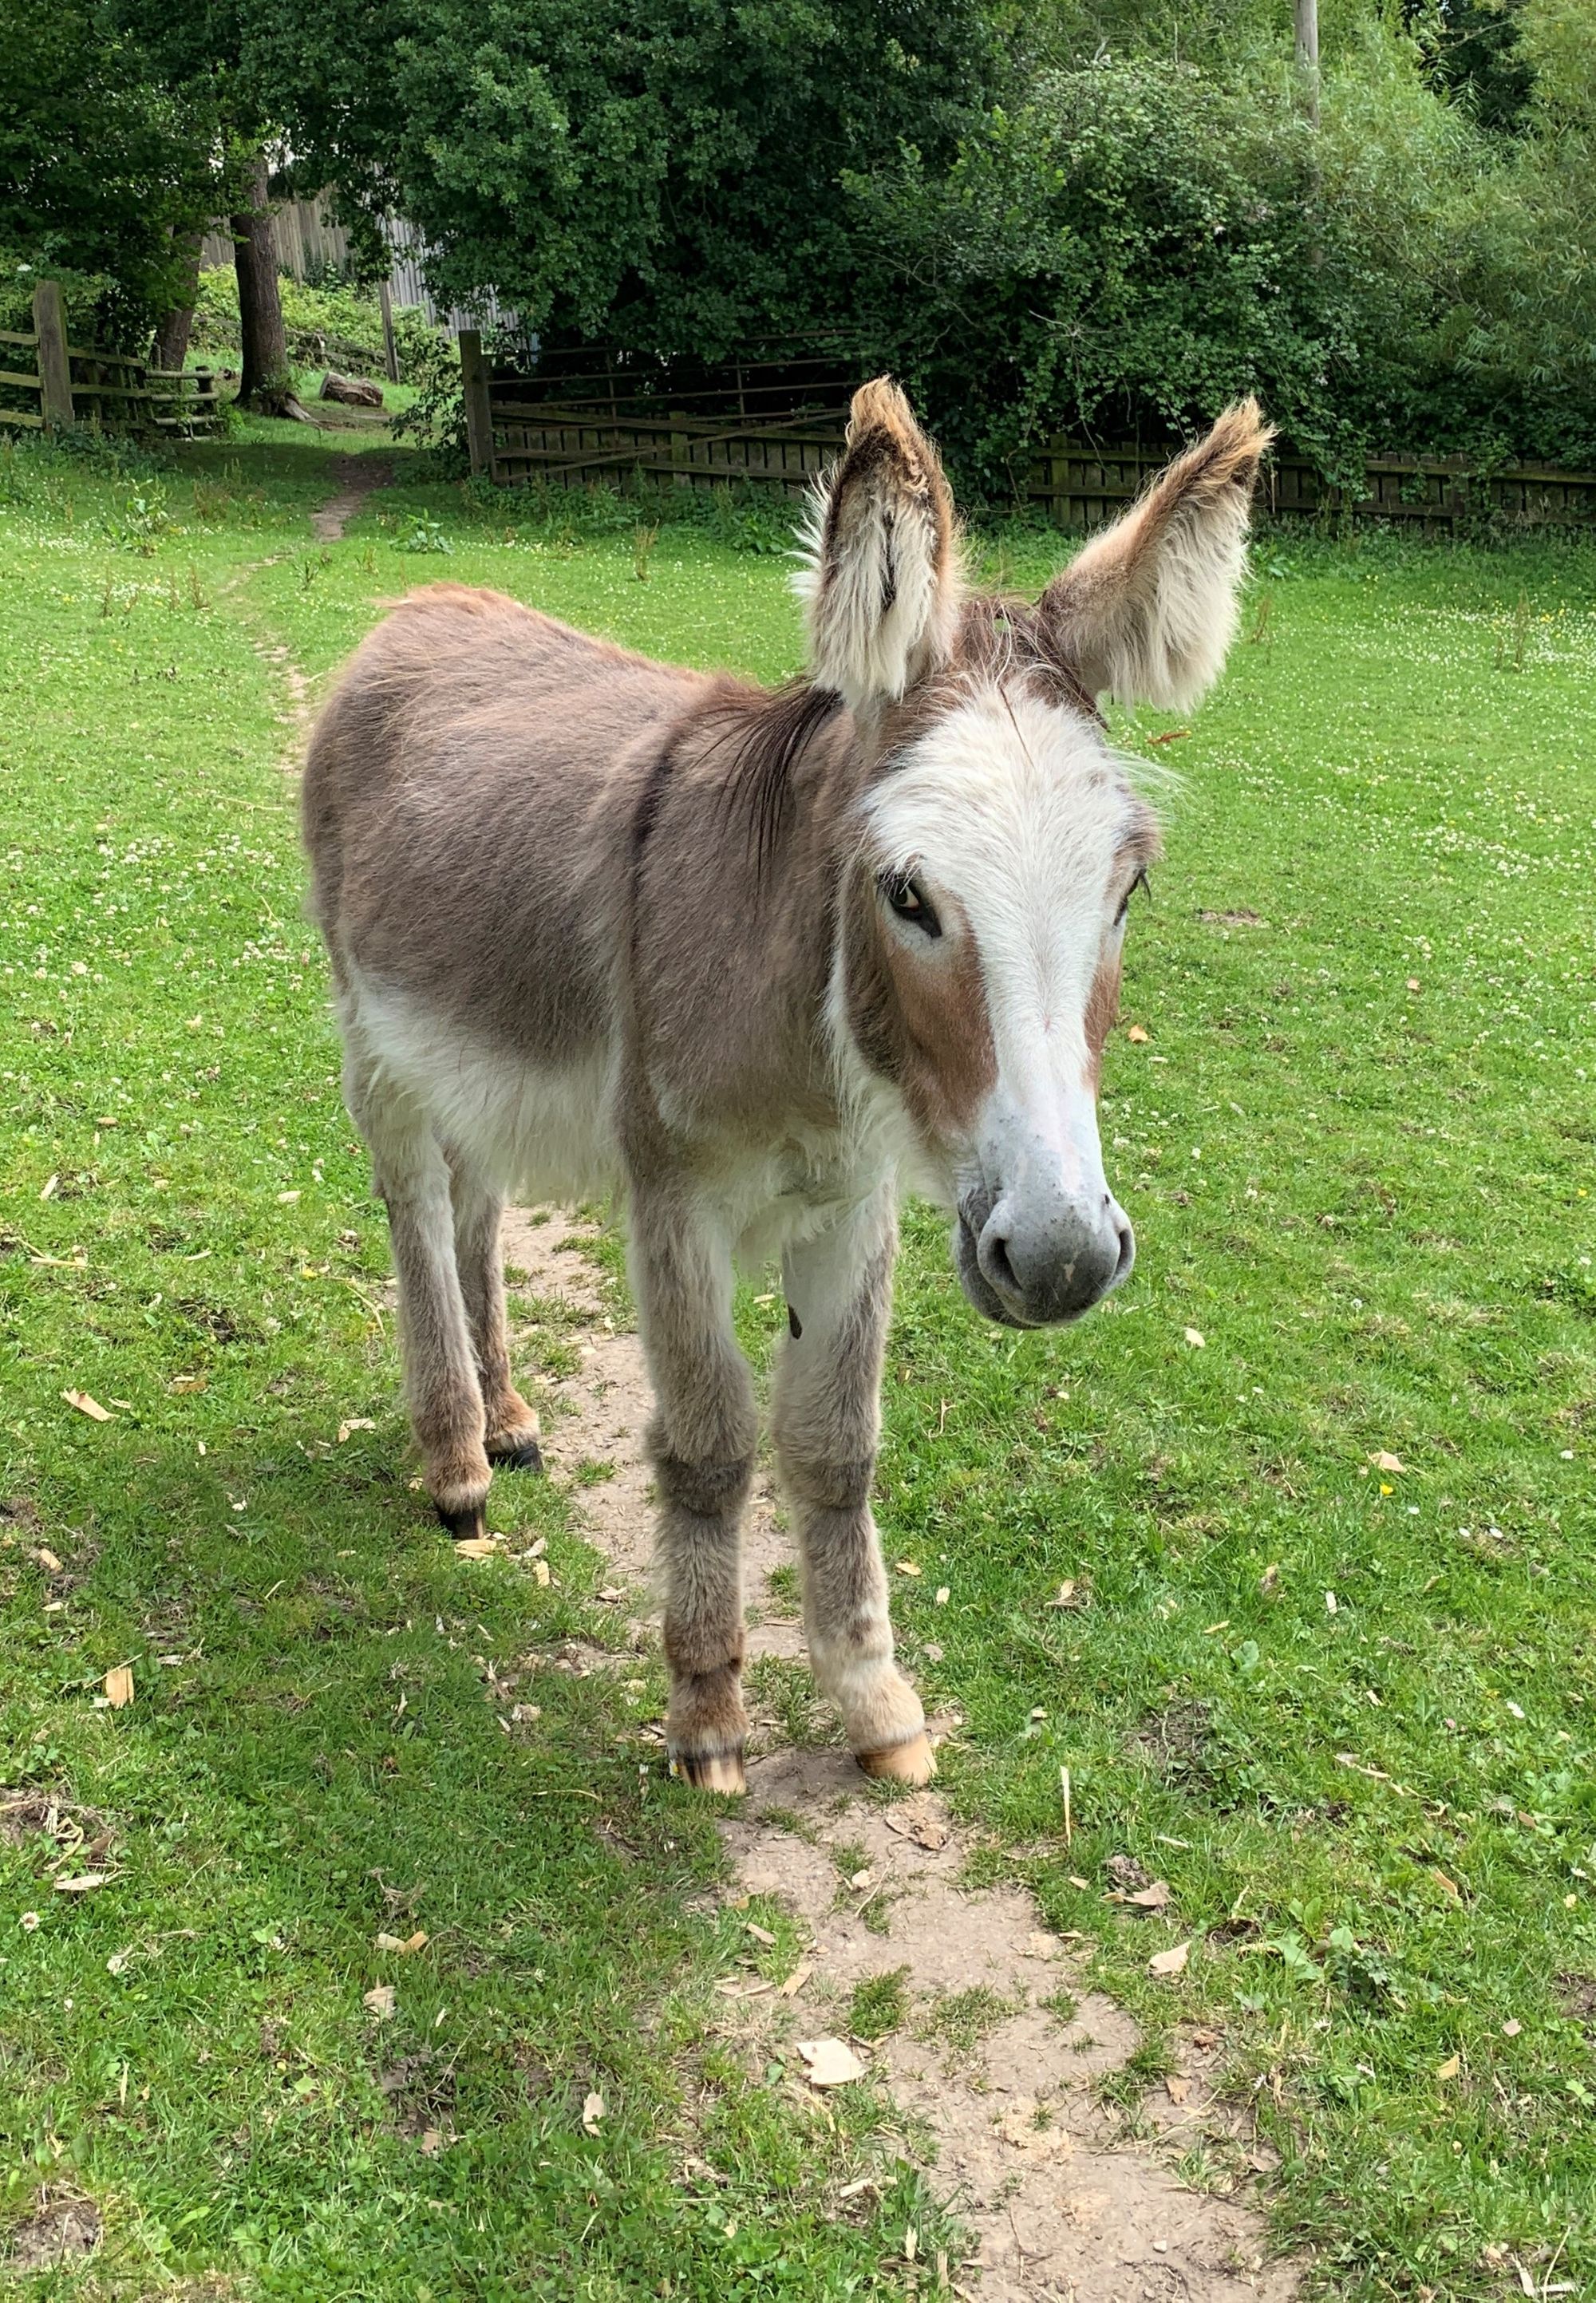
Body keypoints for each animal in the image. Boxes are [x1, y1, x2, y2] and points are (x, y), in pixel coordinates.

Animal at [302, 381, 1271, 1794]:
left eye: (1127, 887)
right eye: (908, 893)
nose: (1062, 1259)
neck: (815, 1053)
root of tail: (422, 605)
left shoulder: (852, 1208)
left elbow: (835, 1445)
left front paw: (874, 1701)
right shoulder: (673, 1201)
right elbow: (711, 1445)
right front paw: (707, 1713)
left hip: (472, 1053)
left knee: (477, 1208)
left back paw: (510, 1414)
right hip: (375, 1047)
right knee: (418, 1216)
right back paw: (456, 1463)